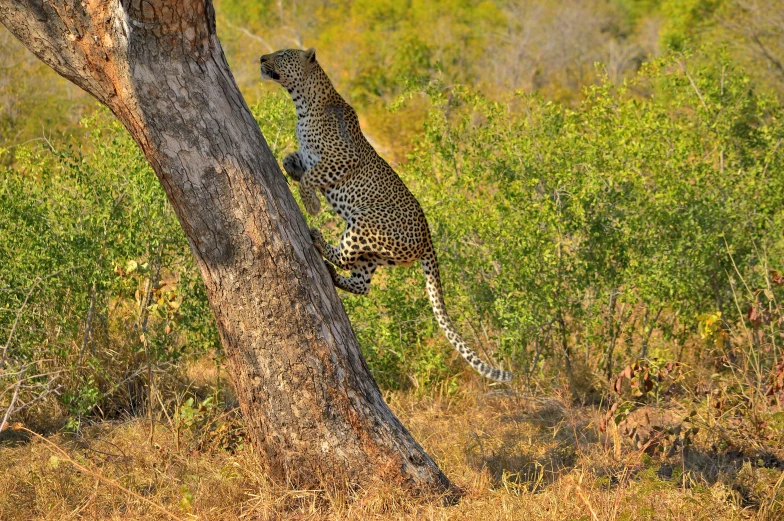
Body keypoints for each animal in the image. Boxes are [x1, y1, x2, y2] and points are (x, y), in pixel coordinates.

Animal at [260, 47, 512, 382]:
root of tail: (428, 236)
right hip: (375, 253)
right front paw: (291, 168)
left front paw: (311, 204)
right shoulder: (316, 157)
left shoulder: (343, 158)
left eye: (283, 54)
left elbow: (312, 177)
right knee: (361, 283)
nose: (262, 58)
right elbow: (295, 160)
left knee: (345, 257)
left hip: (365, 221)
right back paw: (333, 274)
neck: (302, 103)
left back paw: (318, 240)